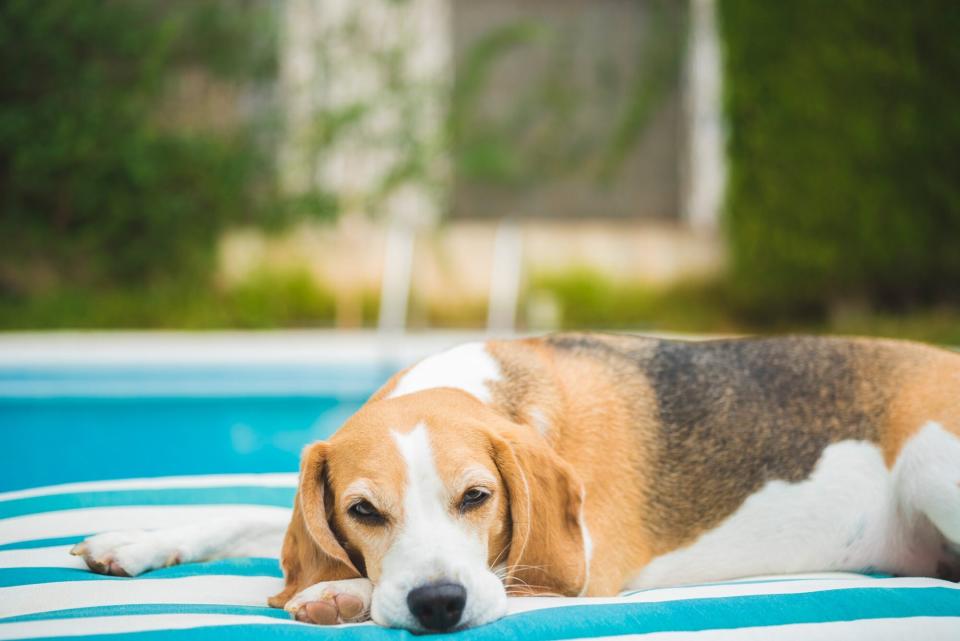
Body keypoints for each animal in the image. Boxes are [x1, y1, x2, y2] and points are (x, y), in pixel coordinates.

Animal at [73, 332, 960, 632]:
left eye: (478, 497)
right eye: (362, 510)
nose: (438, 607)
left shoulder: (575, 571)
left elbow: (492, 576)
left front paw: (337, 595)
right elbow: (240, 511)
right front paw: (140, 535)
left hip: (931, 461)